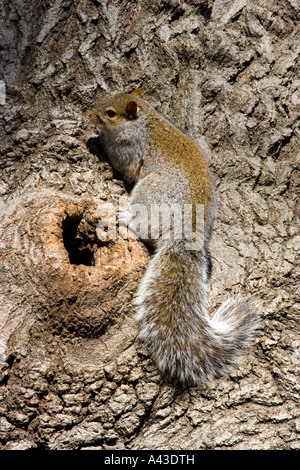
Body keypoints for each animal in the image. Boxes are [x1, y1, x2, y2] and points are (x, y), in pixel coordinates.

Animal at [89, 88, 260, 386]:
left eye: (110, 113)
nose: (89, 113)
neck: (146, 122)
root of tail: (188, 229)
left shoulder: (131, 150)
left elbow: (123, 163)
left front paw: (98, 142)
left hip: (153, 190)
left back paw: (126, 218)